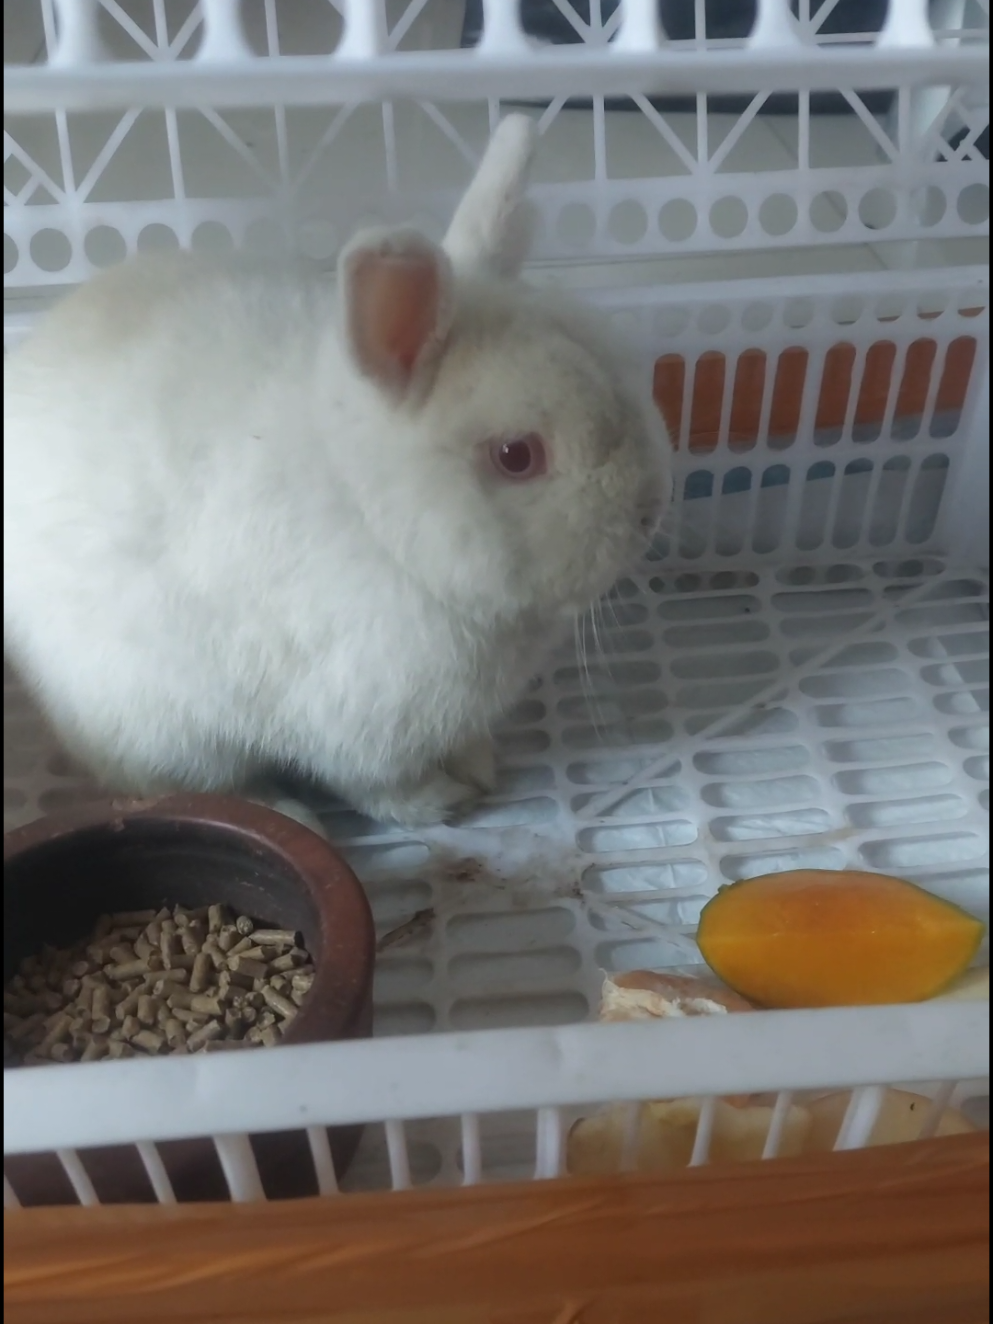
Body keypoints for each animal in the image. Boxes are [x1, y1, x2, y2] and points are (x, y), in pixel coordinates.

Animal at [4, 115, 671, 827]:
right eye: (517, 456)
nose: (648, 513)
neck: (374, 516)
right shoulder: (357, 727)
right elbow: (383, 790)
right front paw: (445, 801)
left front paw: (479, 764)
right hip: (159, 729)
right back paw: (287, 812)